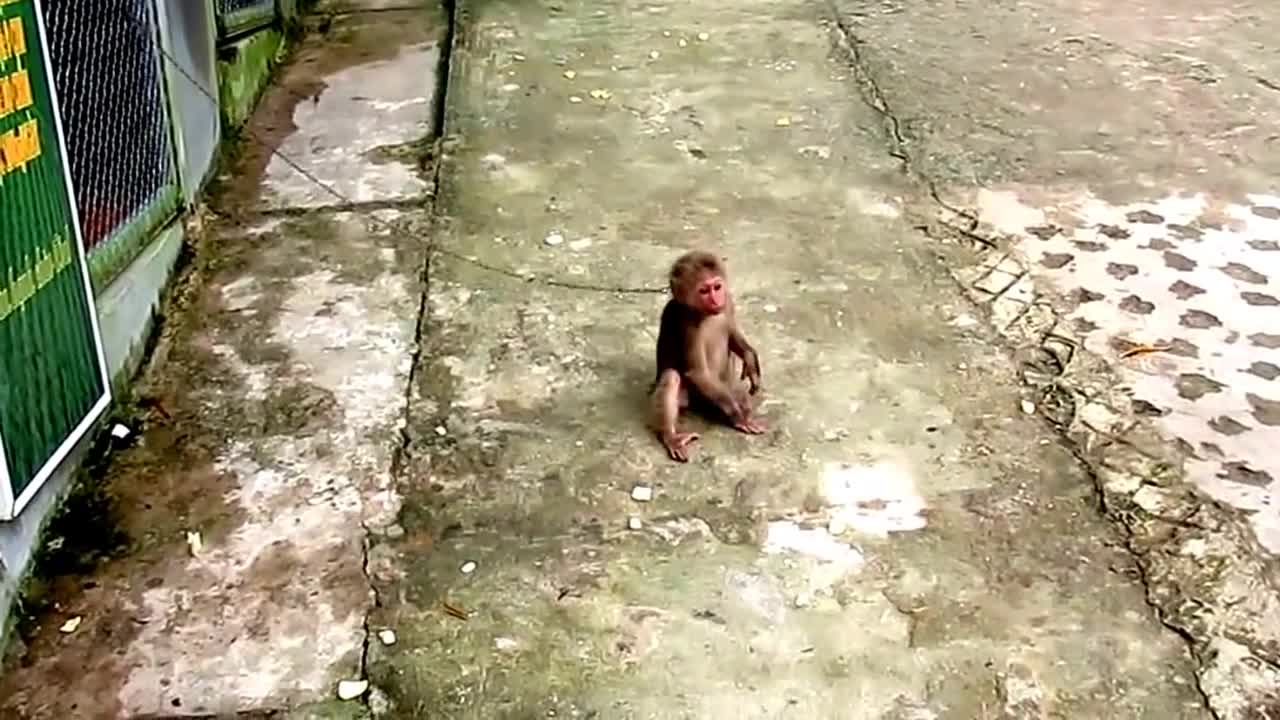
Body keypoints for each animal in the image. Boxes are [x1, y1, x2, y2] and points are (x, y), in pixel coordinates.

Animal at [650, 248, 757, 458]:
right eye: (704, 291)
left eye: (717, 287)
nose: (716, 300)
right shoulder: (687, 321)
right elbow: (697, 372)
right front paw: (737, 416)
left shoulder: (728, 301)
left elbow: (733, 336)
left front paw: (750, 359)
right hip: (696, 396)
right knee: (672, 377)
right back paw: (670, 436)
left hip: (724, 385)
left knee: (737, 391)